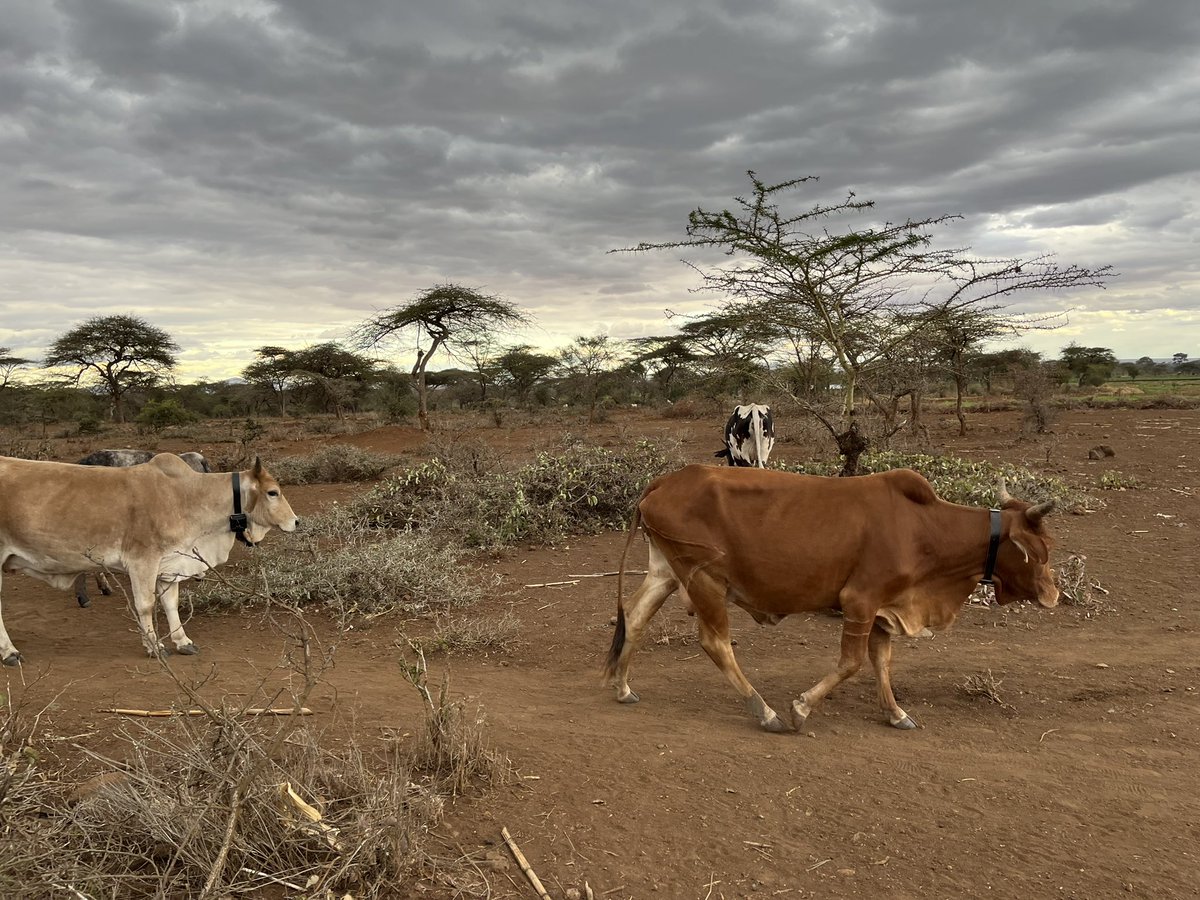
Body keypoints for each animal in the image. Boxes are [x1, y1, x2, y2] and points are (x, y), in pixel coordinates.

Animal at [603, 464, 1058, 732]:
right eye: (1041, 550)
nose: (1053, 594)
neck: (924, 528)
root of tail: (666, 480)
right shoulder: (860, 600)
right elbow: (852, 662)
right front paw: (800, 709)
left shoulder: (883, 608)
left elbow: (881, 661)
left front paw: (896, 713)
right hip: (705, 579)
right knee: (715, 643)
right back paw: (765, 712)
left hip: (666, 570)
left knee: (635, 617)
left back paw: (623, 688)